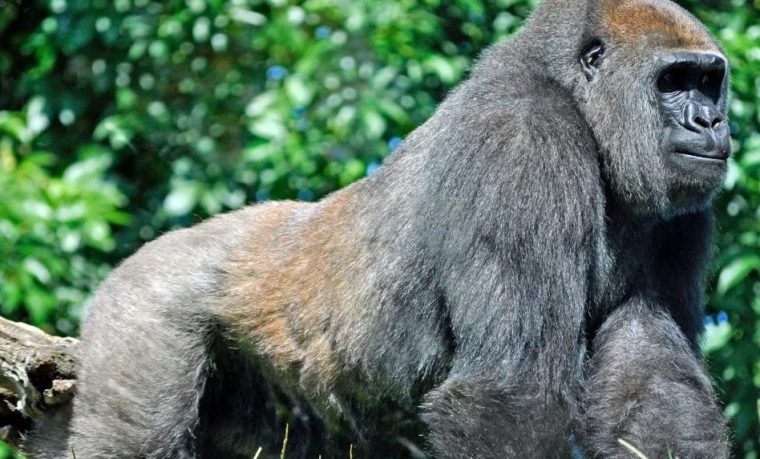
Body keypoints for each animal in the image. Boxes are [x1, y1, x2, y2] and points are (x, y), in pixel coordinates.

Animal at [23, 0, 731, 457]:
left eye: (710, 82)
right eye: (674, 81)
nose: (712, 124)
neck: (576, 102)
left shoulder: (683, 215)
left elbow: (655, 393)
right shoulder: (519, 144)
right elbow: (510, 396)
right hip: (141, 312)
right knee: (136, 434)